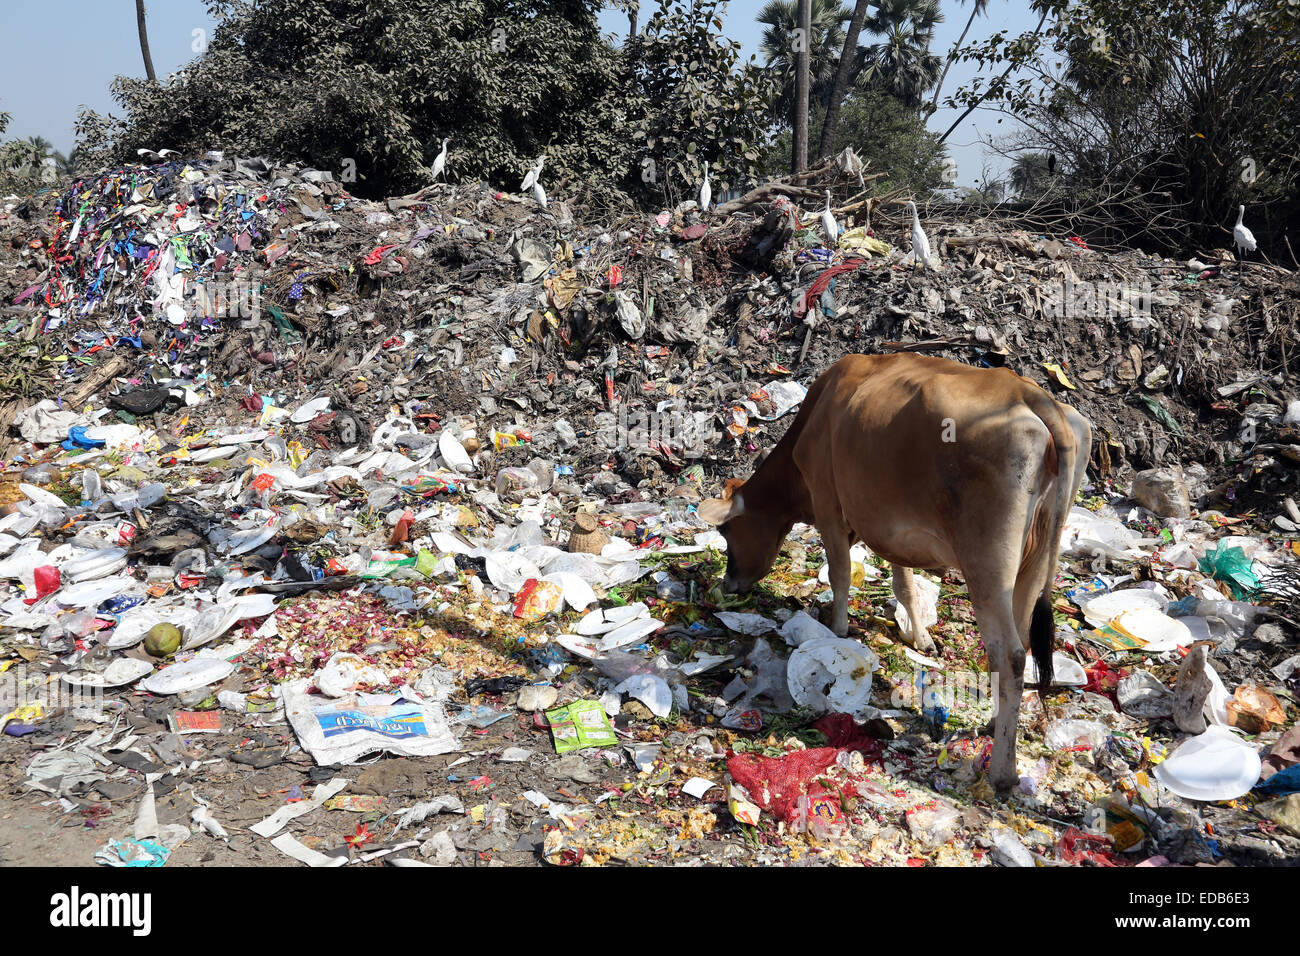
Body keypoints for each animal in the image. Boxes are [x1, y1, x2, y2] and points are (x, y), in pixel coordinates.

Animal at [696, 356, 1092, 790]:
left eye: (726, 532)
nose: (729, 583)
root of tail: (1032, 394)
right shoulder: (888, 526)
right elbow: (904, 585)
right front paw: (920, 638)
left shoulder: (827, 501)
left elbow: (839, 574)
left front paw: (835, 633)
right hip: (1034, 559)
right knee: (1021, 642)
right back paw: (992, 725)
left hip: (987, 561)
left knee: (1011, 654)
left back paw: (1002, 771)